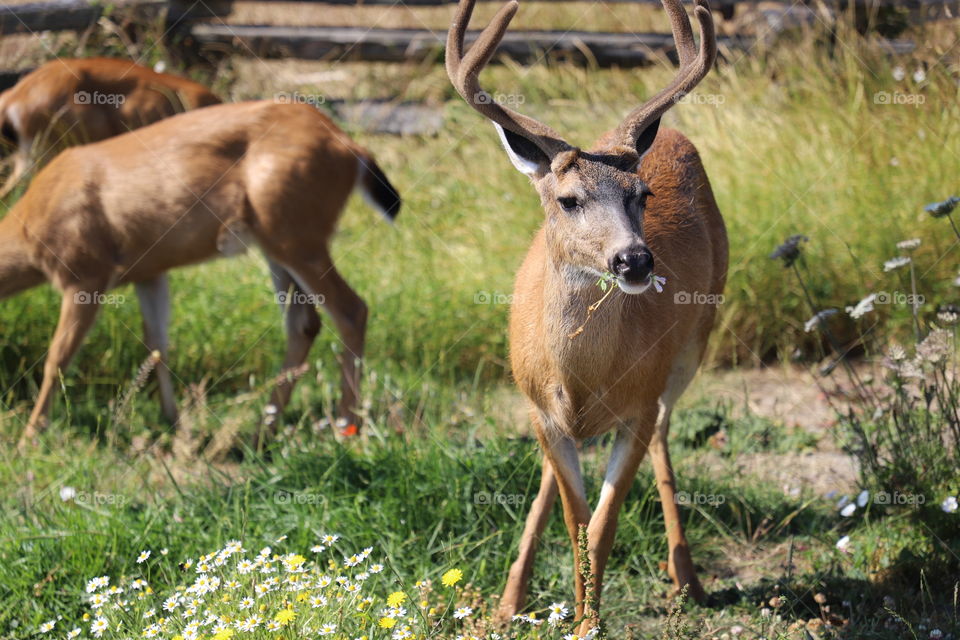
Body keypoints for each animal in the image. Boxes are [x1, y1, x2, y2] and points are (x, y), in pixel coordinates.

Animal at [0, 101, 398, 450]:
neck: (30, 227)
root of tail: (352, 147)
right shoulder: (149, 273)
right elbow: (157, 346)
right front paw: (174, 425)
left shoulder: (86, 272)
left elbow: (57, 358)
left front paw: (28, 439)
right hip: (277, 243)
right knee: (304, 323)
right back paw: (261, 433)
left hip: (296, 234)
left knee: (351, 309)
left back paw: (346, 429)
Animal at [446, 0, 724, 632]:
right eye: (569, 200)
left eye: (643, 195)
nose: (635, 259)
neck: (582, 379)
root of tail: (671, 132)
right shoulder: (540, 409)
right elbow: (576, 523)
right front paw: (574, 616)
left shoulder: (638, 406)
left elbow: (601, 525)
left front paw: (588, 623)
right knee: (553, 476)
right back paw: (510, 599)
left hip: (694, 345)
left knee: (667, 433)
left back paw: (687, 577)